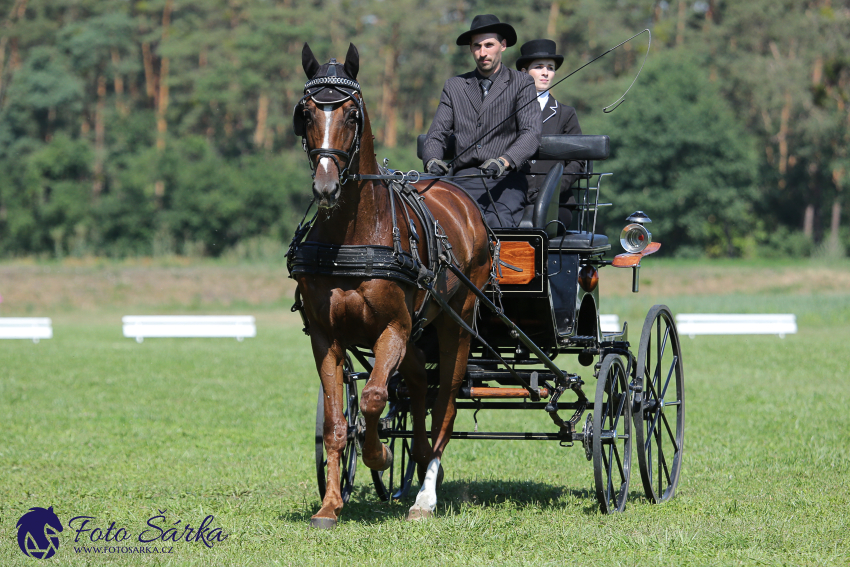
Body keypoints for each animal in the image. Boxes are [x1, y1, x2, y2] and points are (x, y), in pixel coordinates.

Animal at [292, 43, 490, 528]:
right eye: (306, 112)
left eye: (352, 114)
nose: (326, 185)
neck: (351, 235)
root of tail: (462, 199)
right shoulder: (326, 335)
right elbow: (337, 421)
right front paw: (330, 504)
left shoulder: (393, 328)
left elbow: (374, 397)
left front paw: (379, 455)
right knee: (418, 380)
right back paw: (414, 459)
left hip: (454, 323)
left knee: (444, 404)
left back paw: (425, 495)